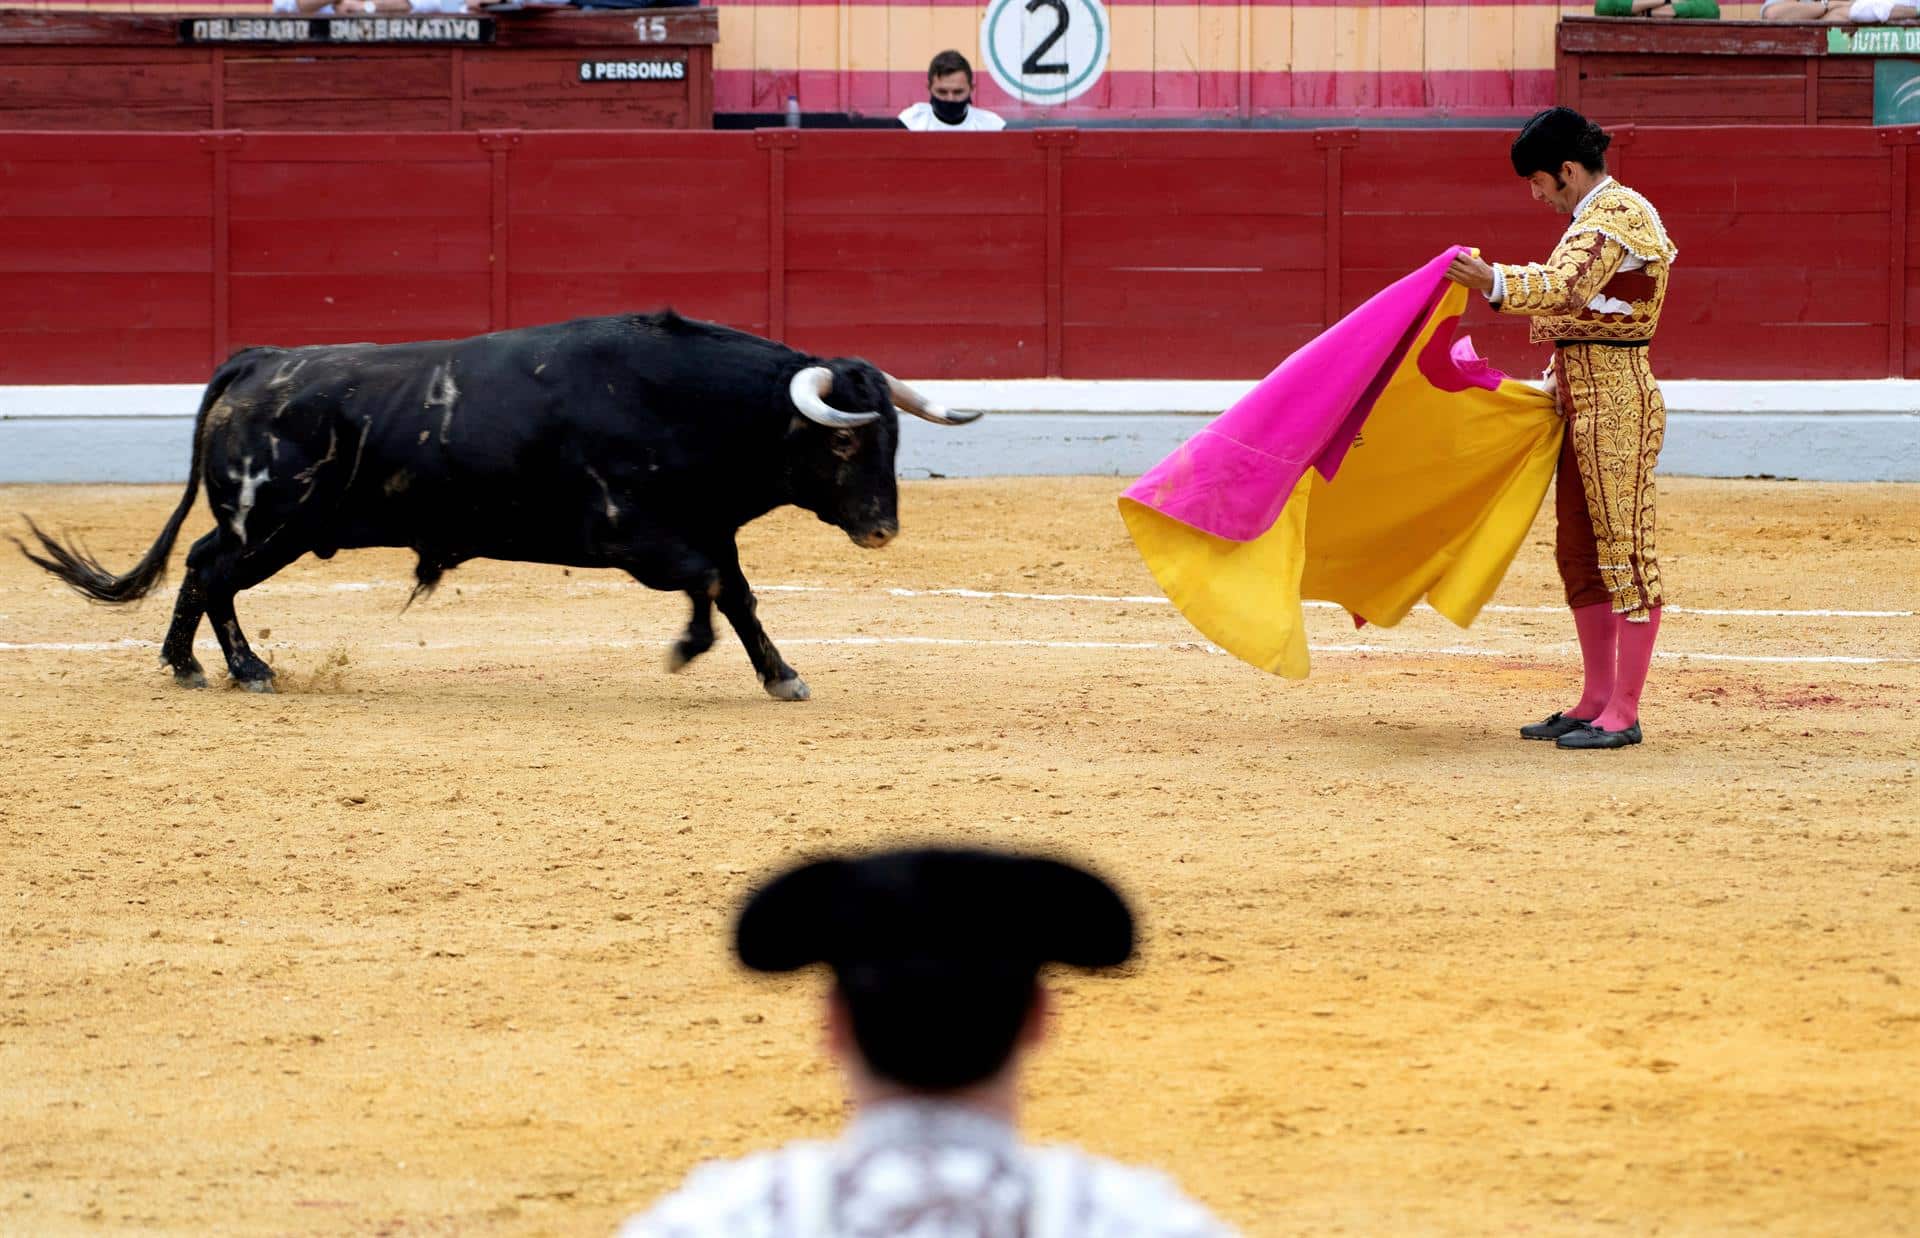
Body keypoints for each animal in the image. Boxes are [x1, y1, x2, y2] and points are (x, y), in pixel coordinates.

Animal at [7, 310, 983, 694]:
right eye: (847, 441)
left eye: (897, 442)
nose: (883, 530)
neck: (686, 402)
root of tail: (258, 360)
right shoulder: (637, 537)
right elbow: (709, 588)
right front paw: (685, 651)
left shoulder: (704, 530)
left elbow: (738, 595)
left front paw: (781, 675)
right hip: (271, 520)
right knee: (213, 573)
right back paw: (241, 669)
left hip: (273, 525)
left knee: (204, 571)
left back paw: (195, 665)